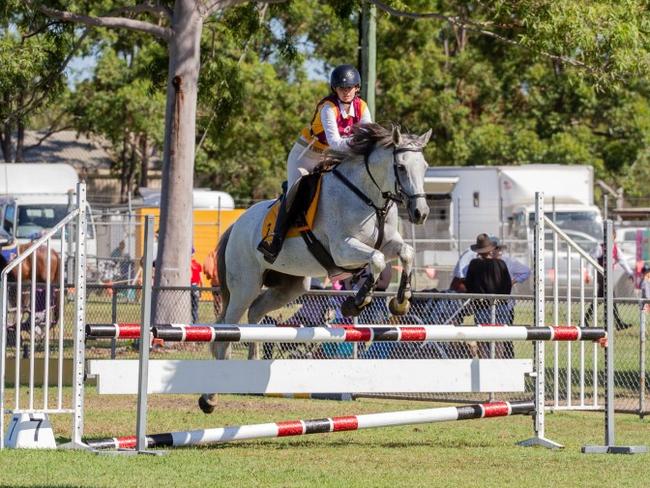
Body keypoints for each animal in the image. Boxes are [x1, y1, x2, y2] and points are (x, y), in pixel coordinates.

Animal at [199, 124, 430, 414]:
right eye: (400, 166)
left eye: (425, 166)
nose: (421, 213)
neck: (368, 197)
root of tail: (236, 225)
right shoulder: (343, 249)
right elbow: (376, 259)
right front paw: (356, 302)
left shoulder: (389, 244)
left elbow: (406, 253)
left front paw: (401, 301)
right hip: (244, 285)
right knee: (226, 330)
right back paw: (210, 398)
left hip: (290, 286)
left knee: (256, 313)